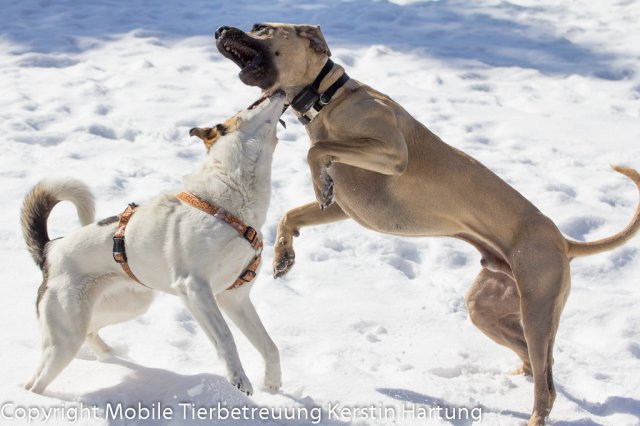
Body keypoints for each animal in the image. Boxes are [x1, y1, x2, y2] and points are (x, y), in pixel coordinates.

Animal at [20, 92, 286, 396]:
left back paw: (111, 355)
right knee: (35, 382)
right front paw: (238, 379)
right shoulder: (194, 286)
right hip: (64, 336)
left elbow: (270, 347)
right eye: (253, 104)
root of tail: (50, 250)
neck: (230, 203)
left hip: (129, 303)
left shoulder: (233, 299)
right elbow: (226, 337)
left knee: (90, 331)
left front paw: (273, 384)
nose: (277, 91)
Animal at [214, 23, 640, 425]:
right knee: (539, 364)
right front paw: (284, 255)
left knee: (546, 385)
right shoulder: (344, 207)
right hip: (487, 306)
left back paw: (535, 413)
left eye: (262, 28)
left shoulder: (391, 152)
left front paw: (318, 180)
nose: (220, 30)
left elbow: (316, 151)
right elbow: (295, 212)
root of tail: (563, 242)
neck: (329, 98)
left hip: (537, 308)